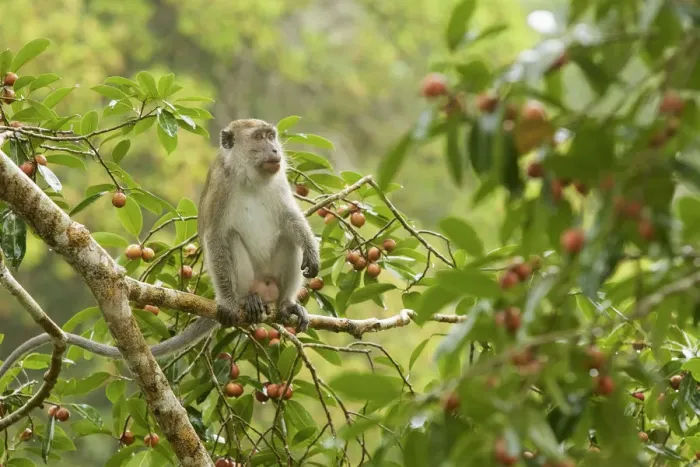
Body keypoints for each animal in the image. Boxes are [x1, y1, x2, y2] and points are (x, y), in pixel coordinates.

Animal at [0, 119, 320, 380]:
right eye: (259, 137)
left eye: (272, 136)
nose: (276, 150)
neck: (249, 177)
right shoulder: (221, 186)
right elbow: (216, 237)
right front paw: (230, 303)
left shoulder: (279, 181)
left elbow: (291, 220)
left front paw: (311, 254)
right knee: (232, 241)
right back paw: (246, 299)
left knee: (287, 240)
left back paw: (286, 304)